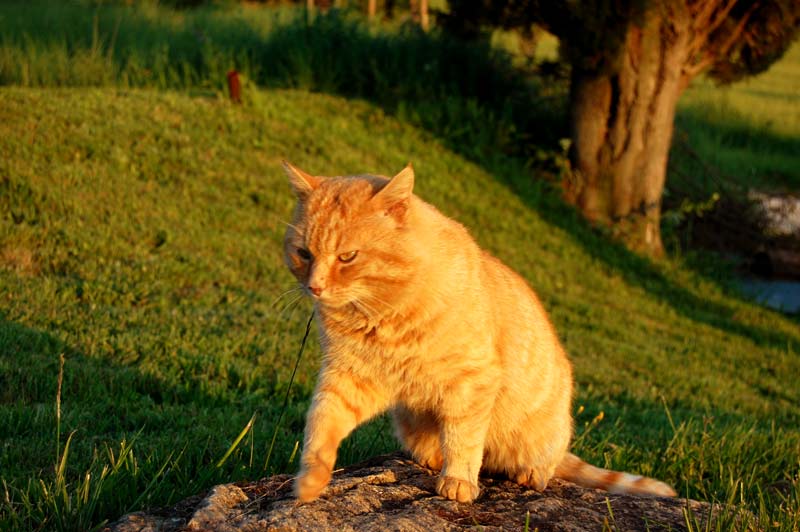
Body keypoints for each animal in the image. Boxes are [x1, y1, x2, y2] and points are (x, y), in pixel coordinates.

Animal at [282, 162, 676, 502]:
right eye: (304, 253)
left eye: (348, 257)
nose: (315, 287)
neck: (382, 313)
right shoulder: (348, 377)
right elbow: (321, 426)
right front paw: (311, 481)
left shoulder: (471, 382)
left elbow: (464, 439)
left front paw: (458, 482)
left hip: (542, 436)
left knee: (543, 464)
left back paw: (529, 473)